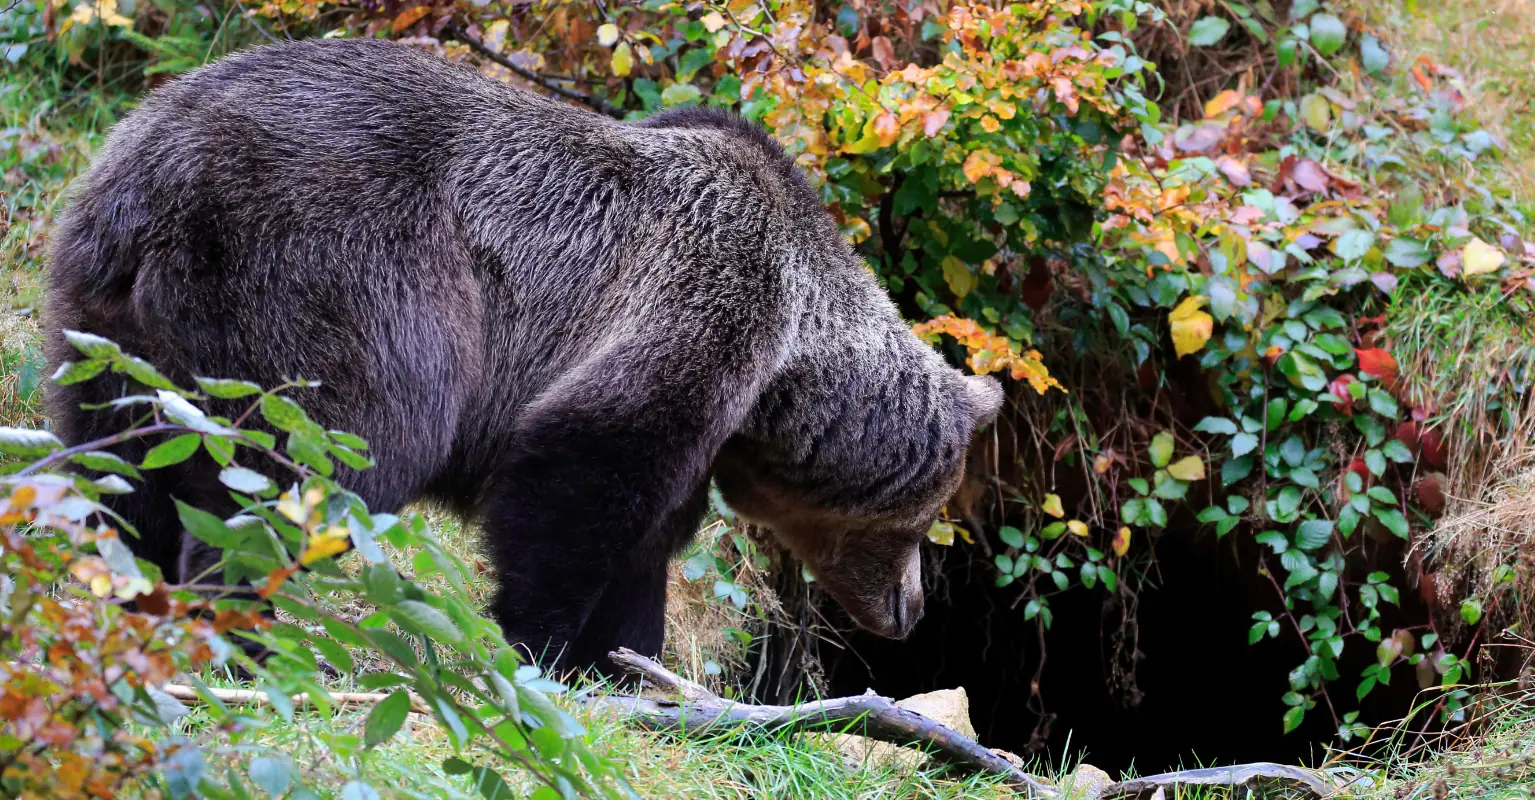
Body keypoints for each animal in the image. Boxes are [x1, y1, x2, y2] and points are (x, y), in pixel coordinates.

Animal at [43, 37, 1004, 676]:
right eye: (927, 521)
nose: (911, 610)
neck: (787, 371)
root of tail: (160, 170)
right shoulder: (698, 304)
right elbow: (573, 483)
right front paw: (536, 646)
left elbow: (647, 543)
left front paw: (625, 668)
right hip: (336, 276)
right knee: (310, 457)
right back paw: (239, 628)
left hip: (109, 322)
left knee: (122, 465)